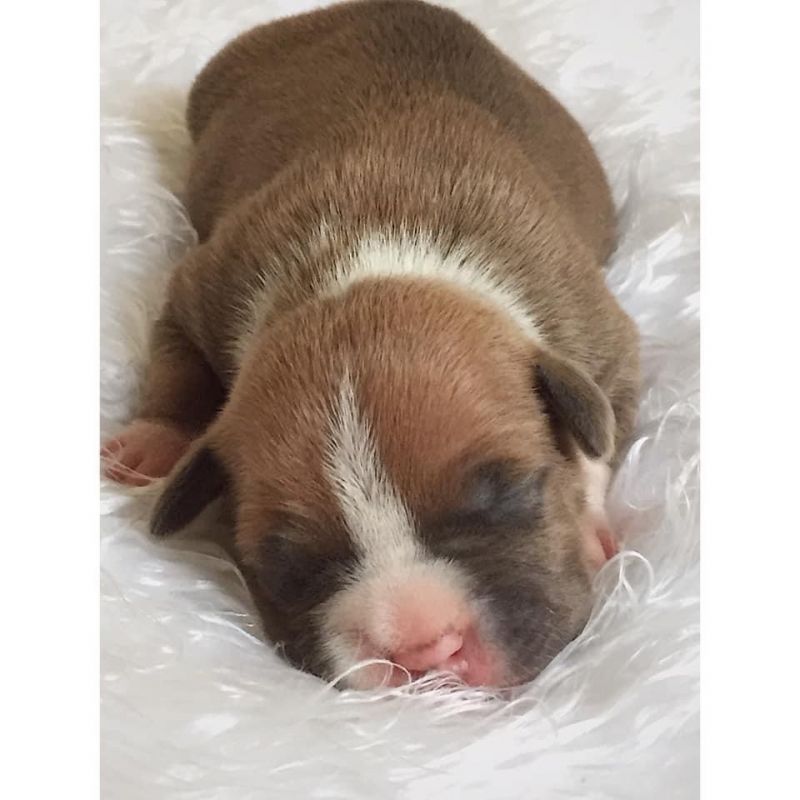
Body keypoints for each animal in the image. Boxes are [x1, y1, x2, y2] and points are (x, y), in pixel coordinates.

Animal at [102, 0, 640, 690]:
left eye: (506, 494)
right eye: (287, 565)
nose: (423, 647)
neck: (371, 261)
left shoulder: (598, 331)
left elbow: (600, 429)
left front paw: (593, 528)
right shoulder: (203, 287)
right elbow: (178, 364)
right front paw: (152, 439)